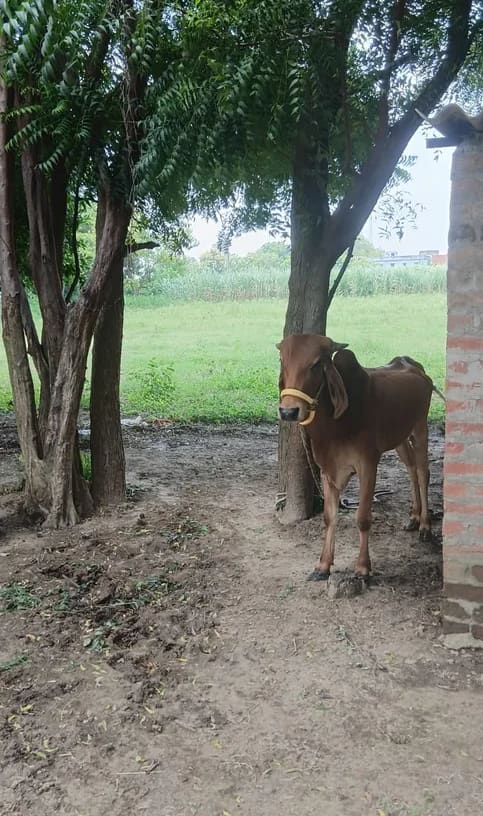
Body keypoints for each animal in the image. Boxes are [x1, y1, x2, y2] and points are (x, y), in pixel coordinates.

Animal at [277, 334, 435, 581]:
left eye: (316, 364)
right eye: (282, 360)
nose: (288, 411)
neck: (334, 427)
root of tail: (416, 367)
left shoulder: (368, 464)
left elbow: (362, 518)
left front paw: (362, 567)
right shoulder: (327, 470)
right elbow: (329, 517)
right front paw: (323, 566)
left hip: (420, 429)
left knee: (422, 472)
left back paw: (425, 526)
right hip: (400, 438)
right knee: (411, 469)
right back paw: (414, 517)